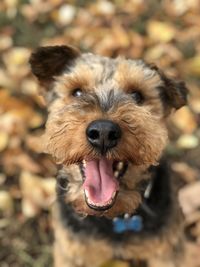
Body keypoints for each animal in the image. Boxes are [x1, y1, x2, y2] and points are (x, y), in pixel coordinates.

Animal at [28, 45, 188, 266]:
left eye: (137, 96)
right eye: (77, 92)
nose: (103, 132)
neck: (113, 216)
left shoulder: (168, 252)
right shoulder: (70, 252)